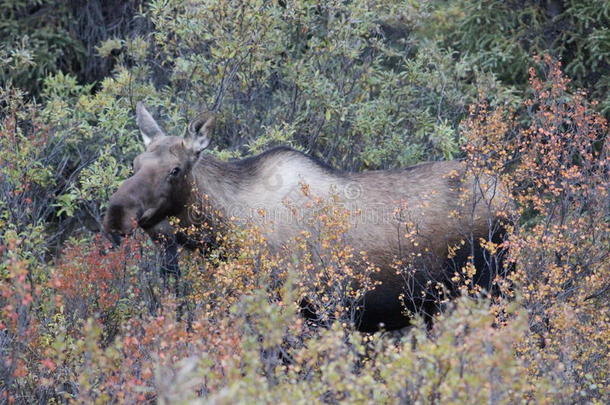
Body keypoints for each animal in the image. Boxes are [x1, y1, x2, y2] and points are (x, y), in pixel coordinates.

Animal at [103, 102, 508, 332]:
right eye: (135, 163)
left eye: (174, 170)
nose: (116, 216)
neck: (227, 227)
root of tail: (506, 193)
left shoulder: (314, 308)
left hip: (491, 286)